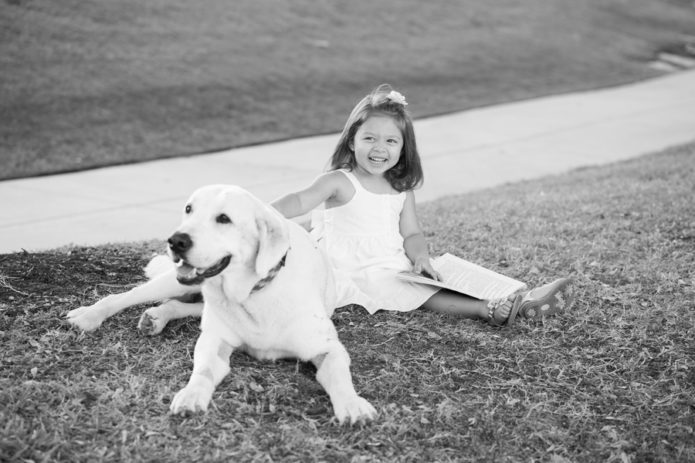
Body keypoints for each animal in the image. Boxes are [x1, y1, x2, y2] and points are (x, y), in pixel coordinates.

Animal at [66, 184, 376, 424]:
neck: (252, 294)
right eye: (188, 209)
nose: (176, 240)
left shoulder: (328, 348)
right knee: (122, 297)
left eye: (224, 218)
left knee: (180, 306)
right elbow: (203, 371)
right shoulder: (214, 341)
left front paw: (352, 405)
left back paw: (156, 317)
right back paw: (88, 315)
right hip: (172, 282)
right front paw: (191, 395)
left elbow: (339, 376)